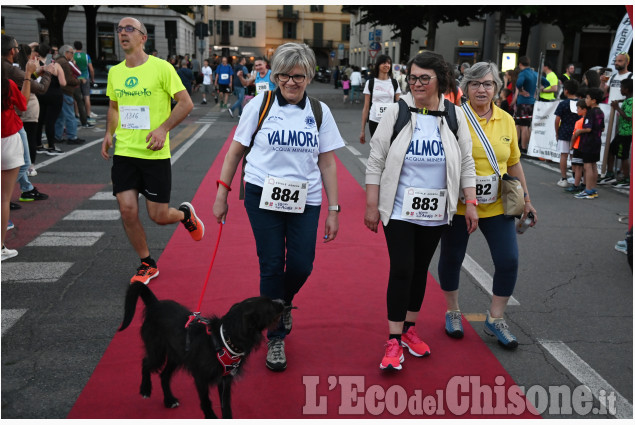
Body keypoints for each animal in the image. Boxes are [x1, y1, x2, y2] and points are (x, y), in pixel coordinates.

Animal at [120, 282, 284, 418]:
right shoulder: (201, 378)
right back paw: (145, 389)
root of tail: (155, 305)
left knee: (164, 376)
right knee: (145, 363)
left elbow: (226, 406)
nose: (283, 302)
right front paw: (211, 417)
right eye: (269, 306)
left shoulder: (225, 380)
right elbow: (206, 401)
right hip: (157, 352)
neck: (223, 340)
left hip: (176, 356)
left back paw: (169, 400)